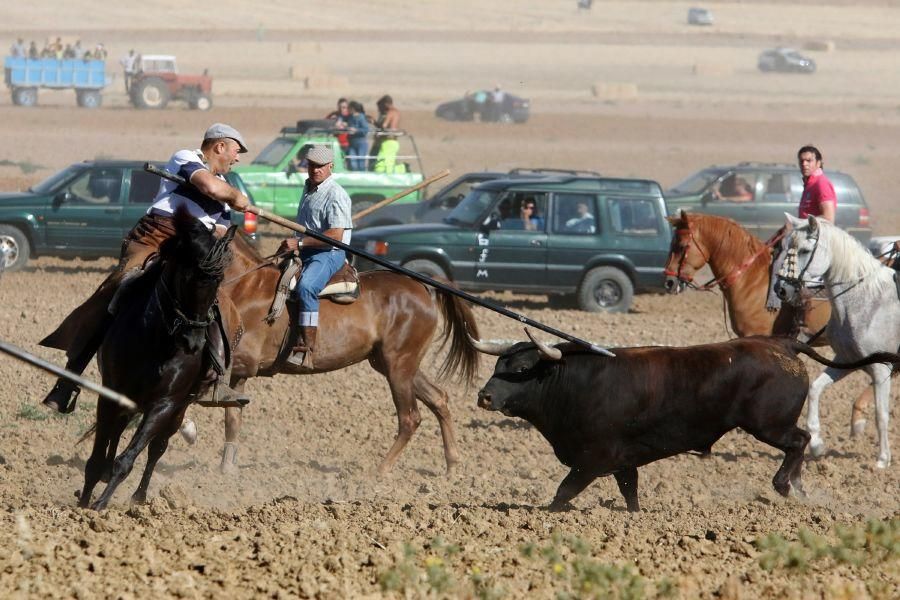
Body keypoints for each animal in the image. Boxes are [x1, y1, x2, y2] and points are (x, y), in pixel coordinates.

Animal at [80, 209, 236, 508]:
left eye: (220, 280)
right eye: (187, 275)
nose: (193, 342)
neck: (155, 341)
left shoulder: (165, 405)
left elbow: (129, 459)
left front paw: (101, 505)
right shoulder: (111, 392)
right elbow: (97, 455)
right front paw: (83, 505)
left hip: (177, 410)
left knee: (156, 448)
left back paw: (139, 497)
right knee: (116, 432)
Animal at [215, 233, 482, 474]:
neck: (247, 286)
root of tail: (422, 287)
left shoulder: (244, 363)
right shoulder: (239, 374)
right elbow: (232, 418)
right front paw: (227, 467)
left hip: (399, 366)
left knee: (410, 418)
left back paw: (380, 471)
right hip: (395, 364)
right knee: (438, 398)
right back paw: (451, 465)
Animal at [474, 332, 896, 510]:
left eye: (522, 368)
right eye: (497, 365)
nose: (484, 396)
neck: (574, 381)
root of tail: (781, 343)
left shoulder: (592, 460)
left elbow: (563, 493)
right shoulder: (623, 463)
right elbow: (630, 494)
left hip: (768, 424)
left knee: (800, 441)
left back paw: (783, 485)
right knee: (800, 444)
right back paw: (796, 486)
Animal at [772, 216, 900, 468]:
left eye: (805, 250)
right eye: (787, 247)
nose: (782, 289)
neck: (868, 302)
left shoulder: (881, 370)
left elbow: (881, 414)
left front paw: (882, 460)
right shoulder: (845, 361)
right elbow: (814, 389)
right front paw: (817, 444)